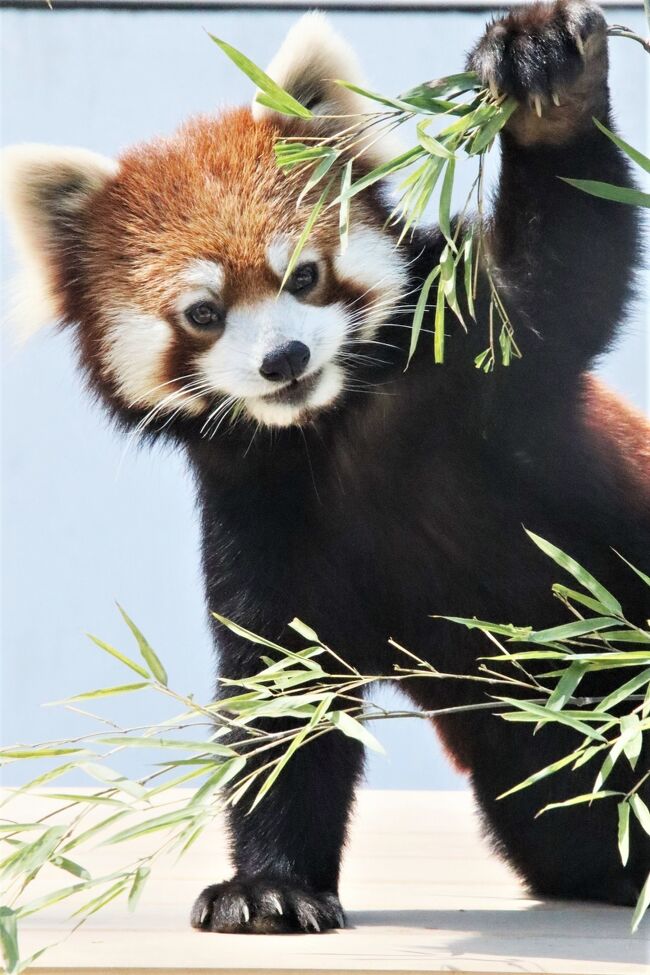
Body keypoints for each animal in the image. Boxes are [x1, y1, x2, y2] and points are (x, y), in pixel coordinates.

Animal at [1, 1, 648, 936]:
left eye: (304, 273)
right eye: (204, 313)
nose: (285, 359)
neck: (336, 427)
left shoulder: (481, 359)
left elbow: (569, 259)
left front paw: (543, 78)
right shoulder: (260, 514)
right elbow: (284, 700)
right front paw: (269, 884)